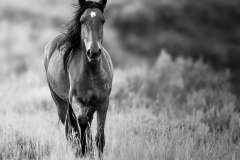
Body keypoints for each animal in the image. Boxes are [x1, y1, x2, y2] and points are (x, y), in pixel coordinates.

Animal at [43, 0, 113, 158]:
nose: (93, 52)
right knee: (70, 129)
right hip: (61, 104)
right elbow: (81, 122)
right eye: (82, 20)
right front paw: (82, 150)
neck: (92, 72)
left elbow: (99, 137)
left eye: (103, 20)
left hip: (90, 105)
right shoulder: (75, 100)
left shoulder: (103, 102)